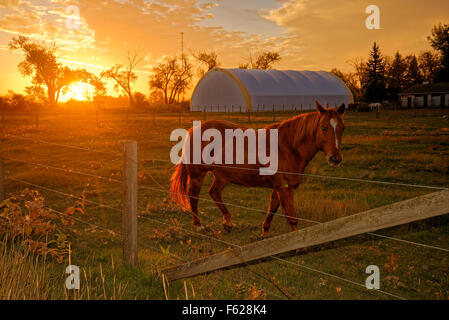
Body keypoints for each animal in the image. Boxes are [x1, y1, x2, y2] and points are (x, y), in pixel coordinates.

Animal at [170, 101, 344, 236]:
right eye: (323, 127)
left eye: (342, 128)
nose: (335, 159)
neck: (288, 146)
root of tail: (194, 130)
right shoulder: (285, 187)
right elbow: (291, 216)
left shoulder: (278, 186)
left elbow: (272, 207)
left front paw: (265, 231)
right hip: (197, 175)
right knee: (193, 197)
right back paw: (199, 226)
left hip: (223, 176)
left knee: (214, 192)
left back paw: (228, 222)